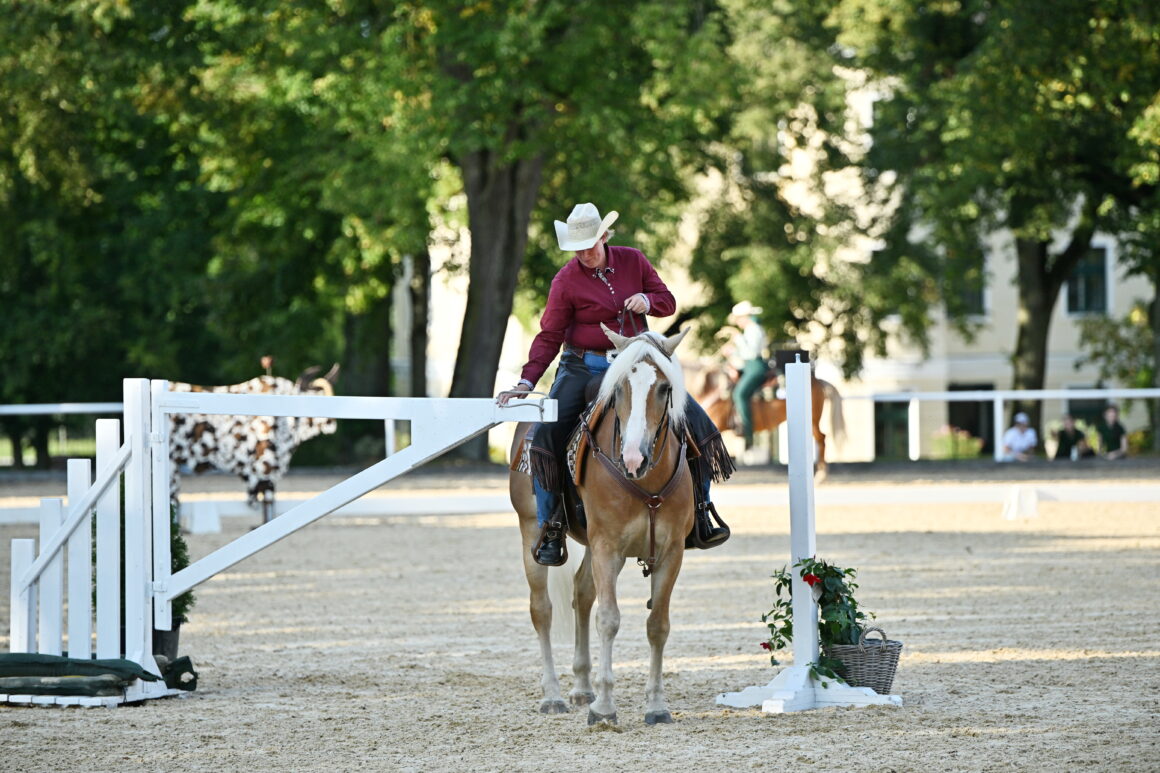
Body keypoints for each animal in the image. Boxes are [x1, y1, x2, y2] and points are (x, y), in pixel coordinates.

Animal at [505, 322, 686, 724]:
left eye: (664, 388)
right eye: (617, 389)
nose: (635, 458)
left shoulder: (672, 552)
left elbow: (658, 624)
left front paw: (656, 705)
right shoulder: (608, 547)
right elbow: (609, 619)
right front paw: (604, 708)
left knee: (582, 592)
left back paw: (582, 687)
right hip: (531, 532)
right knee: (542, 609)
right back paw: (553, 695)